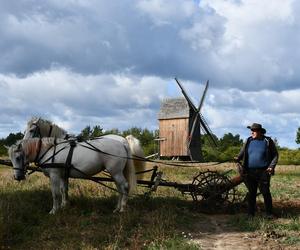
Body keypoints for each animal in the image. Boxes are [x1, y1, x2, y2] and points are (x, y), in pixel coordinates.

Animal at [8, 138, 137, 214]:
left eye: (18, 158)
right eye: (11, 159)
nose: (17, 177)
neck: (49, 151)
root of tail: (122, 143)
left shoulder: (54, 176)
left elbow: (55, 194)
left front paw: (54, 210)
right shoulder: (63, 176)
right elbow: (63, 190)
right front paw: (64, 206)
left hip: (116, 172)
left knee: (125, 187)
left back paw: (122, 208)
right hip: (115, 173)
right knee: (119, 188)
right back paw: (117, 208)